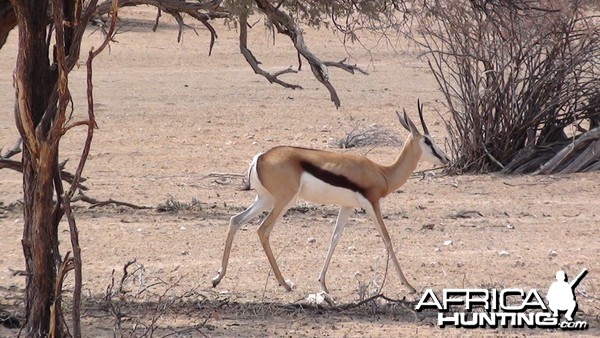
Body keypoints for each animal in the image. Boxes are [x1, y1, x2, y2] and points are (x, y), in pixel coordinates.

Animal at [212, 101, 450, 294]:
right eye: (428, 140)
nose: (446, 158)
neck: (383, 173)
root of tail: (260, 157)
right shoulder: (372, 203)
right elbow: (387, 238)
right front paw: (409, 285)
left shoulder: (347, 207)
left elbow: (334, 239)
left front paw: (323, 284)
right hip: (284, 201)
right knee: (263, 230)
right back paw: (285, 284)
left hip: (265, 200)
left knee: (235, 220)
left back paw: (218, 278)